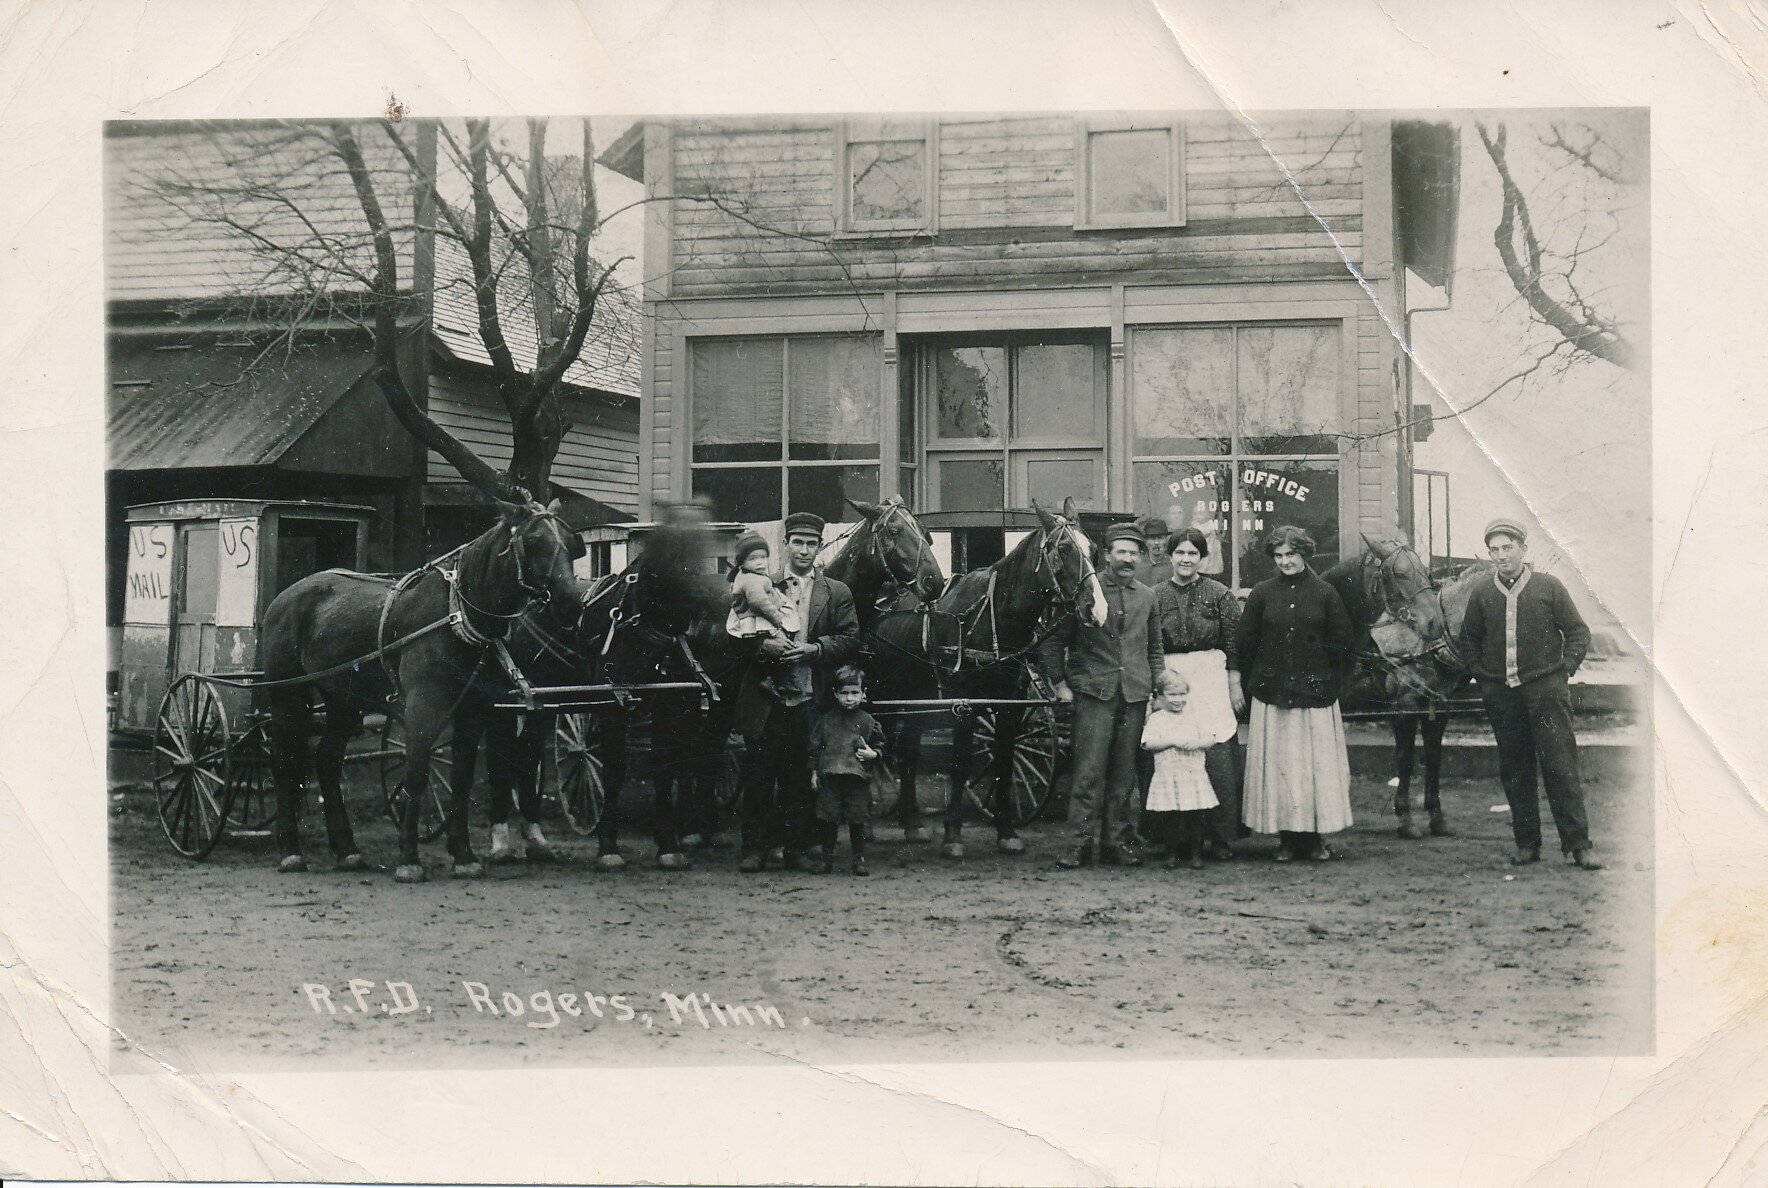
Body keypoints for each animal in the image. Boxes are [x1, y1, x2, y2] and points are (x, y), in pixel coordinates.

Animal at [258, 495, 586, 880]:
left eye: (571, 543)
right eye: (533, 541)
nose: (572, 604)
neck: (456, 616)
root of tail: (285, 596)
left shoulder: (473, 710)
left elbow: (461, 778)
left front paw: (463, 855)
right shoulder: (421, 707)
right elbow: (416, 774)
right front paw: (409, 858)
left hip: (345, 701)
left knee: (326, 759)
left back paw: (347, 850)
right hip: (287, 695)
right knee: (282, 760)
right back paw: (291, 851)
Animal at [866, 495, 1110, 859]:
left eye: (1093, 548)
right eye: (1064, 548)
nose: (1097, 609)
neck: (994, 617)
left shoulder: (1009, 704)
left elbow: (1005, 761)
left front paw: (1006, 830)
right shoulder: (965, 706)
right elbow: (961, 764)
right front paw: (953, 835)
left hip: (913, 697)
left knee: (908, 750)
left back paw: (912, 823)